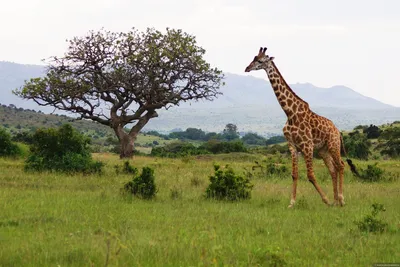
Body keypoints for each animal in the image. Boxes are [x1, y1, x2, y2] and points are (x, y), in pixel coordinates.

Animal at [244, 47, 346, 208]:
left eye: (260, 61)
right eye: (253, 58)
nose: (247, 68)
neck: (290, 113)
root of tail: (338, 131)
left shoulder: (307, 145)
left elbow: (310, 175)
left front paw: (325, 199)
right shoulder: (293, 146)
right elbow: (294, 174)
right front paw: (292, 203)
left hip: (333, 145)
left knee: (341, 166)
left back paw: (341, 199)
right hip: (323, 150)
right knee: (333, 170)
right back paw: (336, 200)